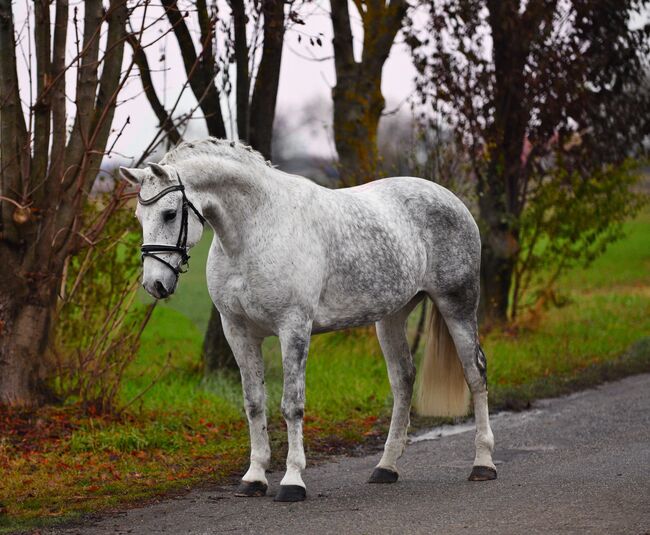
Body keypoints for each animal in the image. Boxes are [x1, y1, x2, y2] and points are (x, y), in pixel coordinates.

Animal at [120, 138, 496, 502]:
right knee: (403, 380)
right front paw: (254, 478)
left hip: (457, 305)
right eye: (139, 216)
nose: (155, 284)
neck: (255, 230)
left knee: (475, 374)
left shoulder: (294, 328)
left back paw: (483, 463)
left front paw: (292, 481)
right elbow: (254, 403)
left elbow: (292, 404)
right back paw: (385, 468)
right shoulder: (237, 331)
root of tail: (451, 198)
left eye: (169, 214)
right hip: (391, 317)